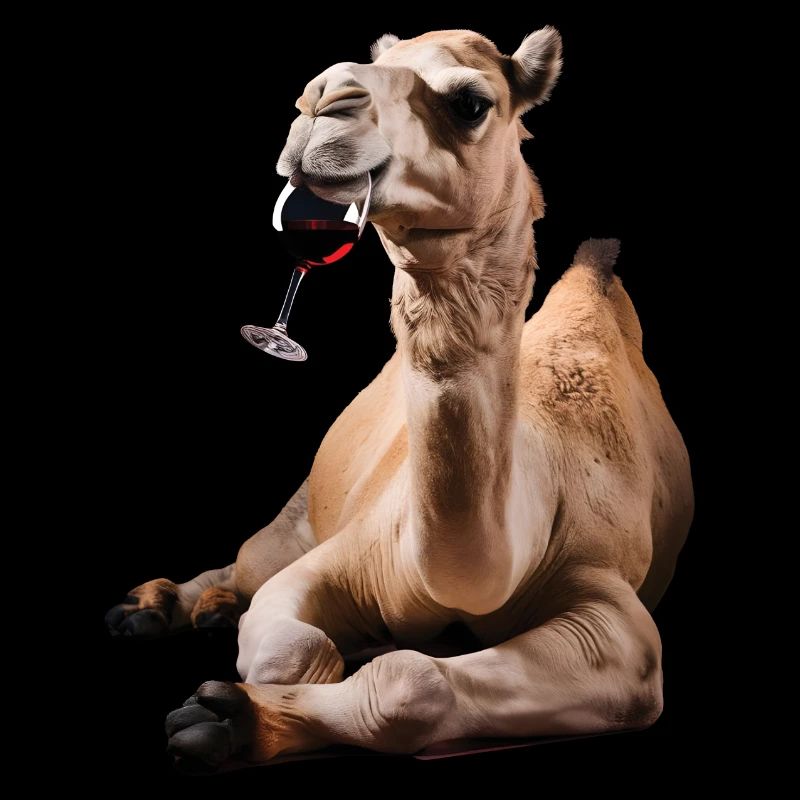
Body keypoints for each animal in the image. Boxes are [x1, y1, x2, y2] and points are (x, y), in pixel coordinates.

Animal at [106, 28, 693, 768]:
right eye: (377, 63)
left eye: (471, 102)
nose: (320, 102)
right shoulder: (357, 553)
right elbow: (294, 648)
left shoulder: (618, 623)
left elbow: (410, 682)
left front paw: (227, 717)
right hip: (297, 518)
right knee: (248, 559)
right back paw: (156, 607)